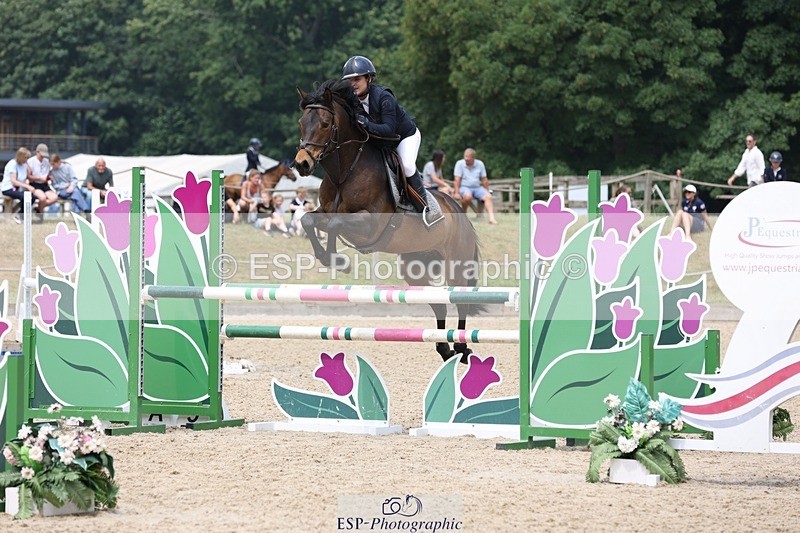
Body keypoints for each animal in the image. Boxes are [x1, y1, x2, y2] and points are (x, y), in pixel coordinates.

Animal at [293, 79, 482, 362]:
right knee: (438, 303)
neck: (344, 173)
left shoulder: (369, 224)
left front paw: (338, 261)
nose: (302, 164)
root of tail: (460, 213)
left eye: (325, 124)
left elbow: (335, 224)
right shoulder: (324, 211)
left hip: (456, 264)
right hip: (416, 267)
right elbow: (308, 221)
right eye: (302, 123)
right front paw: (331, 259)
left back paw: (461, 347)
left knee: (460, 300)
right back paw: (444, 348)